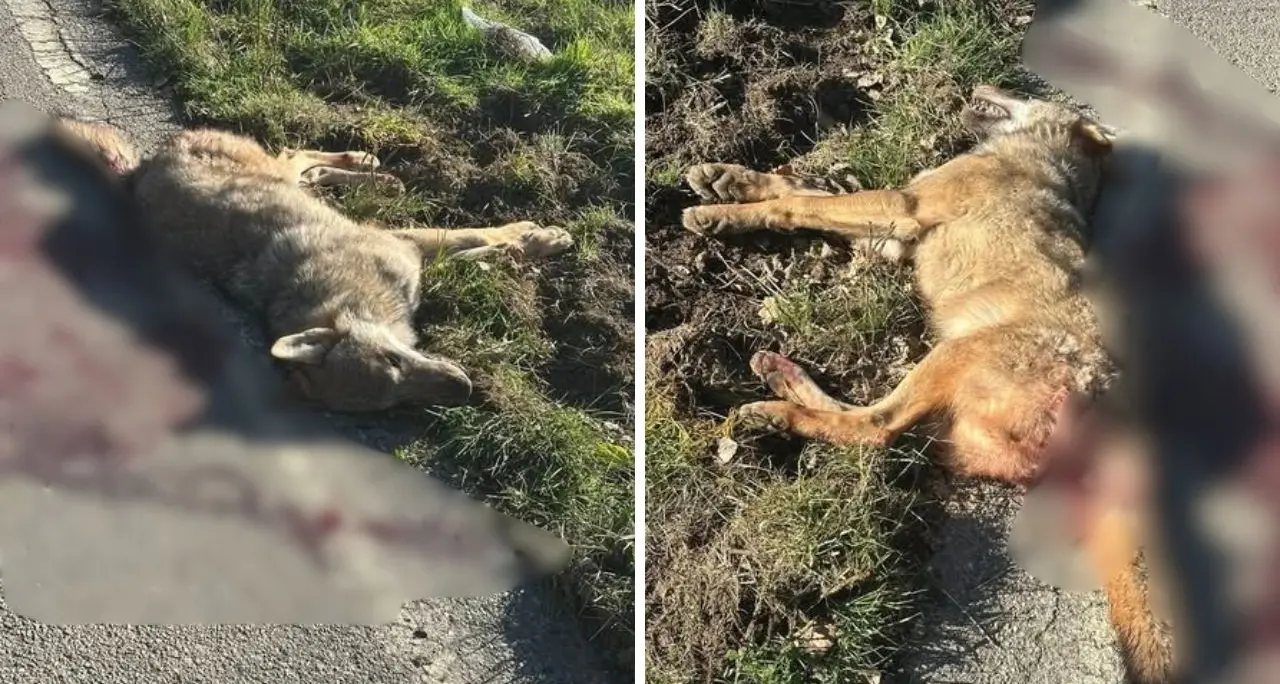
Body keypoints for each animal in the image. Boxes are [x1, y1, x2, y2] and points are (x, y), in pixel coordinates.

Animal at [107, 127, 575, 413]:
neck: (349, 298)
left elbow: (475, 235)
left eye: (394, 360)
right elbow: (476, 249)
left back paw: (366, 164)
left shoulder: (406, 245)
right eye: (394, 403)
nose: (464, 389)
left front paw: (539, 238)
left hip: (278, 170)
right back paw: (373, 173)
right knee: (308, 167)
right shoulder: (413, 255)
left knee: (299, 156)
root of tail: (142, 167)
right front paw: (523, 246)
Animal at [681, 85, 1170, 683]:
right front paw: (726, 179)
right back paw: (783, 381)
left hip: (951, 355)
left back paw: (777, 408)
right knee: (883, 432)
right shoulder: (893, 224)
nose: (980, 86)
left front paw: (720, 214)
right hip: (952, 422)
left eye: (1021, 93)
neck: (1037, 157)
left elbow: (793, 205)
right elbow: (801, 186)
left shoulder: (904, 206)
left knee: (874, 428)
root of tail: (1110, 405)